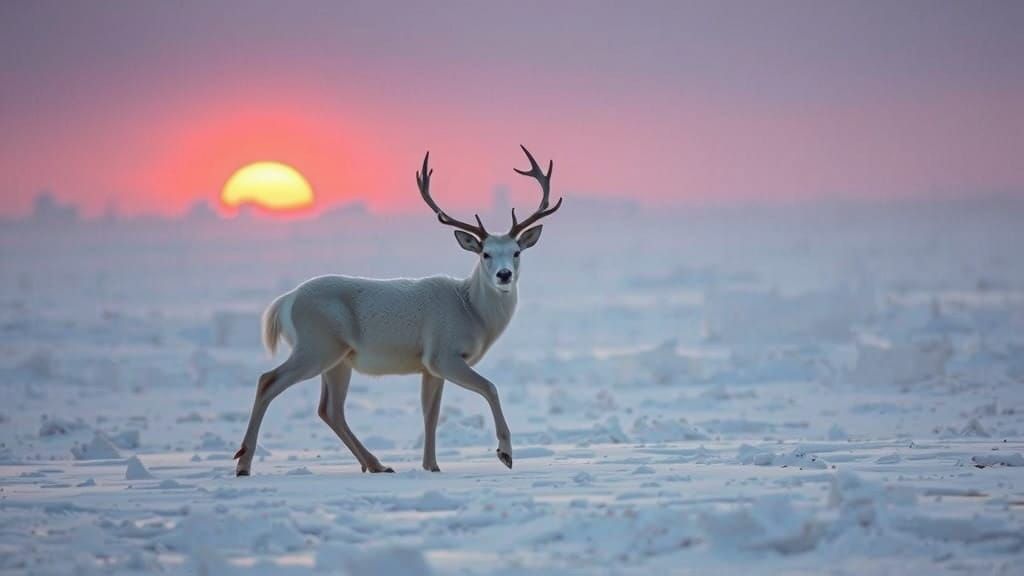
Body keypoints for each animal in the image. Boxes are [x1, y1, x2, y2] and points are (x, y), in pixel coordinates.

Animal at [234, 146, 562, 476]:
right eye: (485, 253)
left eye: (516, 252)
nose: (504, 275)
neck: (471, 310)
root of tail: (286, 301)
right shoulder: (443, 353)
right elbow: (490, 388)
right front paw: (505, 454)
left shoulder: (429, 366)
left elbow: (431, 412)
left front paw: (431, 465)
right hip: (316, 346)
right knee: (268, 381)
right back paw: (243, 463)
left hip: (338, 359)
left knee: (330, 409)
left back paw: (376, 464)